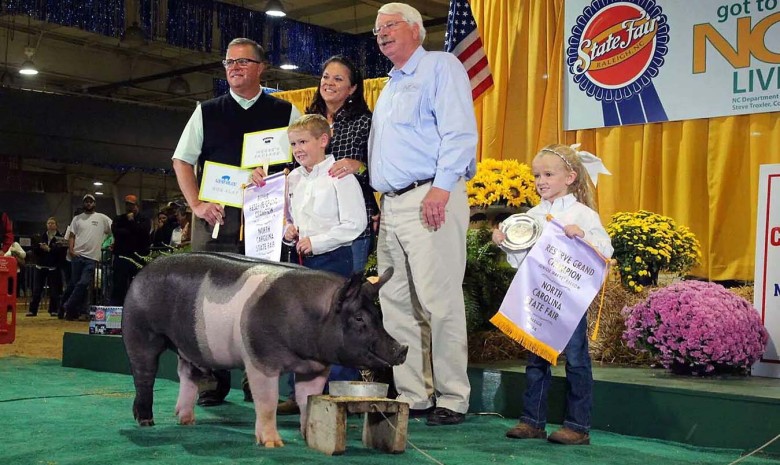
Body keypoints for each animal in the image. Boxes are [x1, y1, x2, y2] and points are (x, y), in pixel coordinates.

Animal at [122, 252, 408, 448]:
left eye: (378, 315)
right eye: (359, 318)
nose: (402, 348)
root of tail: (143, 273)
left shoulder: (315, 368)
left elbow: (308, 400)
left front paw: (308, 436)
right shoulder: (260, 359)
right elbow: (267, 402)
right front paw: (273, 444)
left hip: (189, 345)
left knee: (186, 375)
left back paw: (186, 420)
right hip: (140, 331)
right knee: (144, 374)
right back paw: (146, 421)